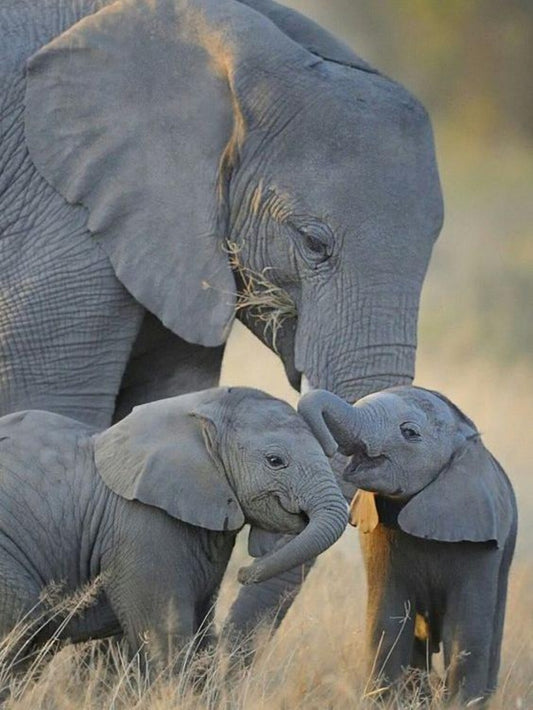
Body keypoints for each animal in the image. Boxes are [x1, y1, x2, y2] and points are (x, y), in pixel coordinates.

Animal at [0, 387, 348, 668]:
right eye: (275, 461)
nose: (244, 573)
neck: (198, 408)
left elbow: (202, 629)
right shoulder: (143, 529)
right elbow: (166, 636)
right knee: (23, 625)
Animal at [298, 386, 517, 704]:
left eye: (410, 433)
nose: (327, 448)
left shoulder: (481, 541)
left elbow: (466, 631)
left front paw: (461, 704)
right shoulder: (378, 533)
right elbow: (387, 622)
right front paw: (385, 702)